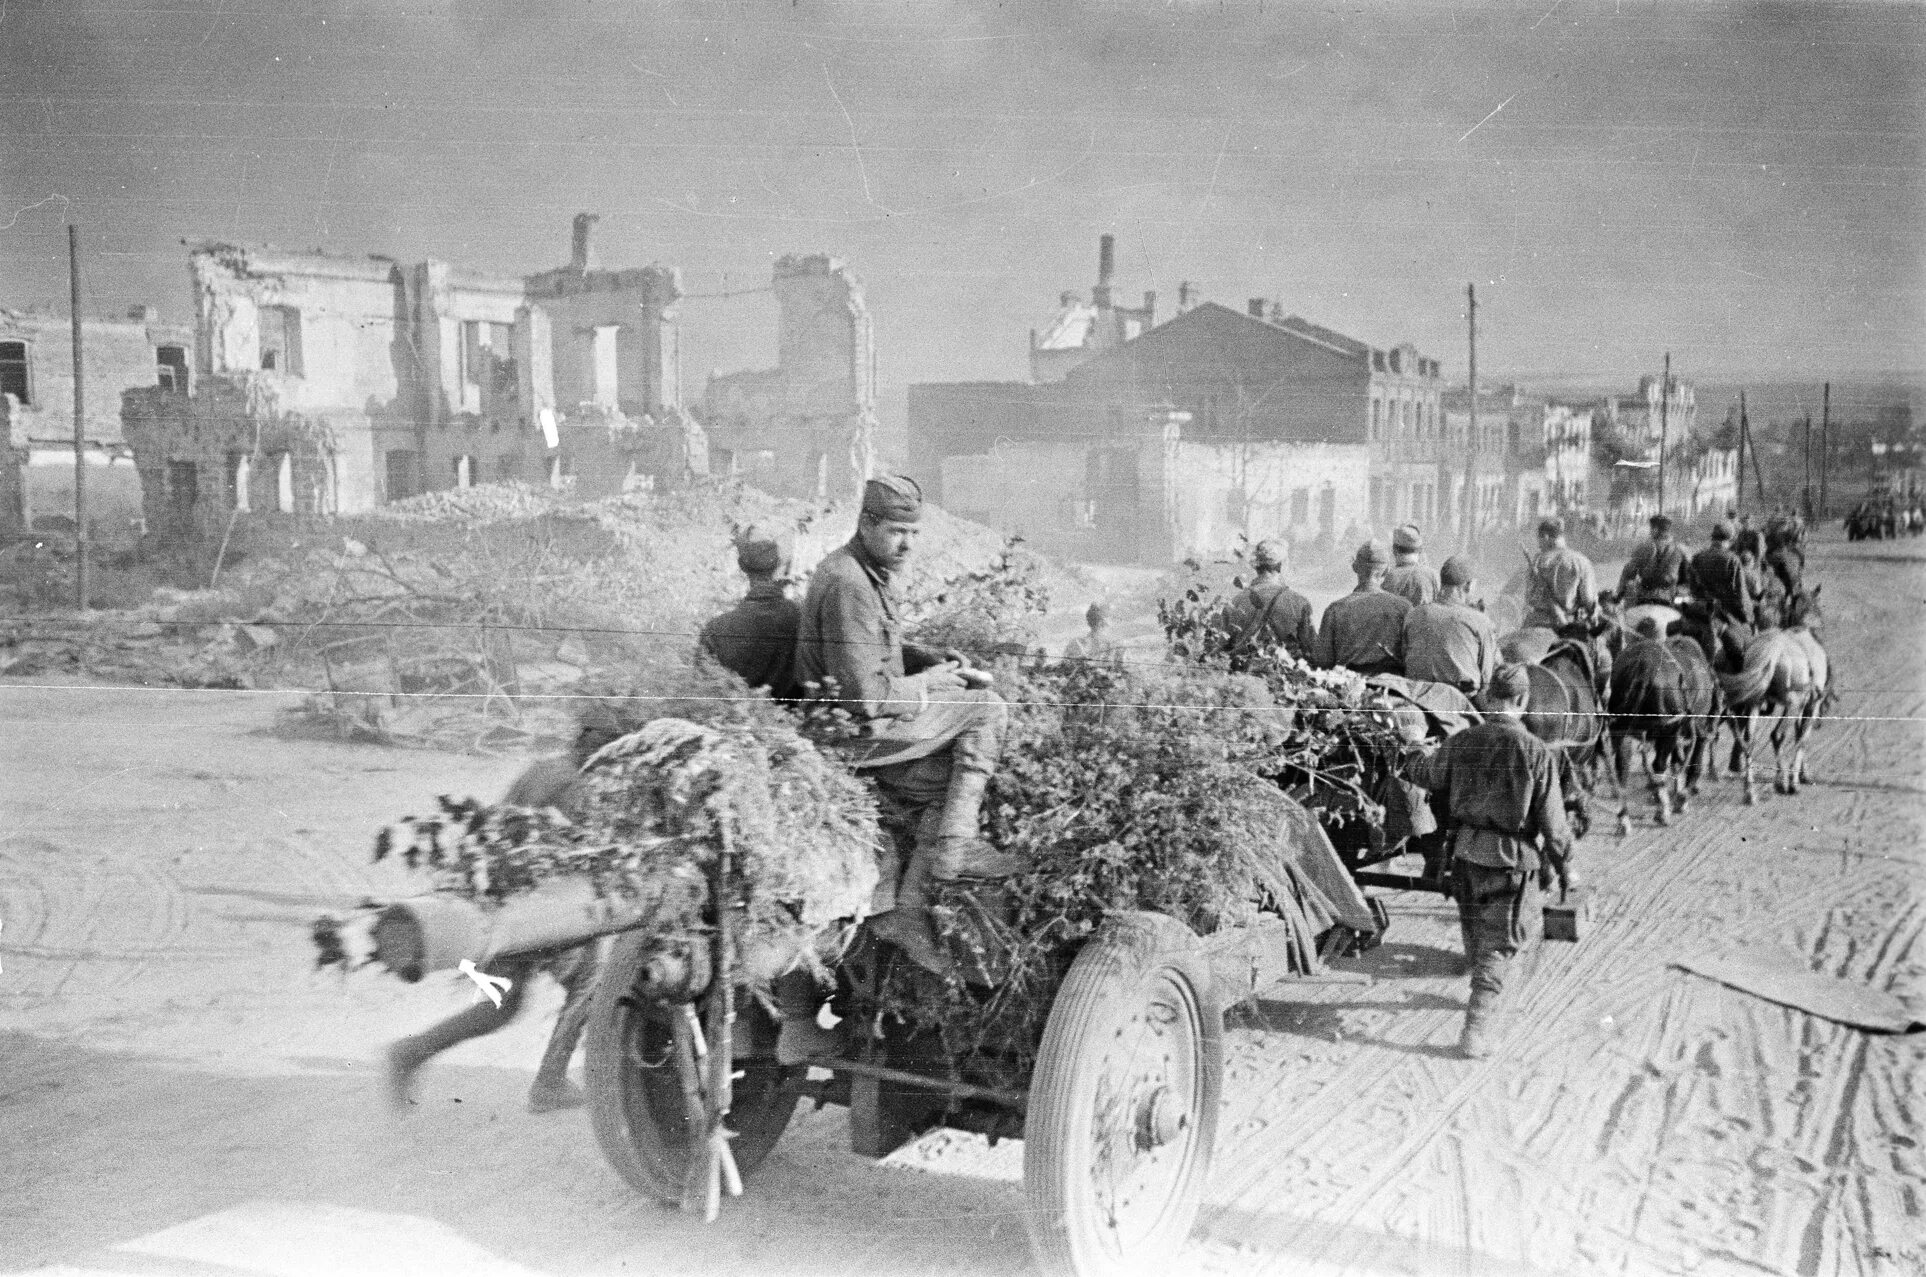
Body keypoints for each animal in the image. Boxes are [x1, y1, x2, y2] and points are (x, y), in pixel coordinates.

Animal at [1602, 631, 1725, 835]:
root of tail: (1643, 667)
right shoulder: (1692, 726)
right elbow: (1693, 763)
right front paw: (1682, 796)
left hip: (1623, 729)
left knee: (1622, 770)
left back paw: (1624, 818)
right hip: (1667, 729)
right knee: (1658, 765)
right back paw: (1663, 810)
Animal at [1725, 585, 1825, 805]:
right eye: (1819, 605)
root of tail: (1774, 650)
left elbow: (1799, 734)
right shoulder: (1810, 705)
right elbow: (1802, 738)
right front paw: (1797, 779)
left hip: (1755, 703)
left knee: (1749, 740)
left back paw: (1750, 791)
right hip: (1792, 703)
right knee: (1777, 735)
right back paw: (1782, 783)